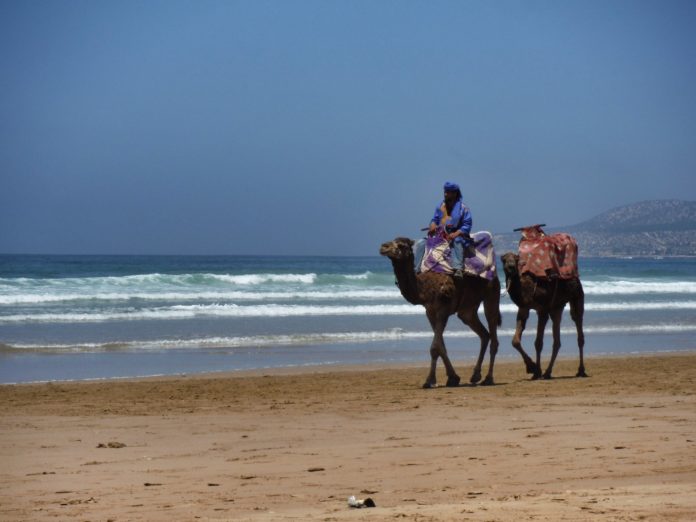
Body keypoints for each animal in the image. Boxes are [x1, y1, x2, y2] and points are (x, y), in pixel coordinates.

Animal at [380, 236, 500, 386]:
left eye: (401, 245)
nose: (383, 247)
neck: (424, 289)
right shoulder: (430, 312)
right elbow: (441, 347)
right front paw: (453, 378)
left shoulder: (443, 310)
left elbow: (434, 348)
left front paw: (429, 380)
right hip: (467, 310)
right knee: (484, 334)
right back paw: (475, 375)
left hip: (491, 295)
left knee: (493, 335)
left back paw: (488, 378)